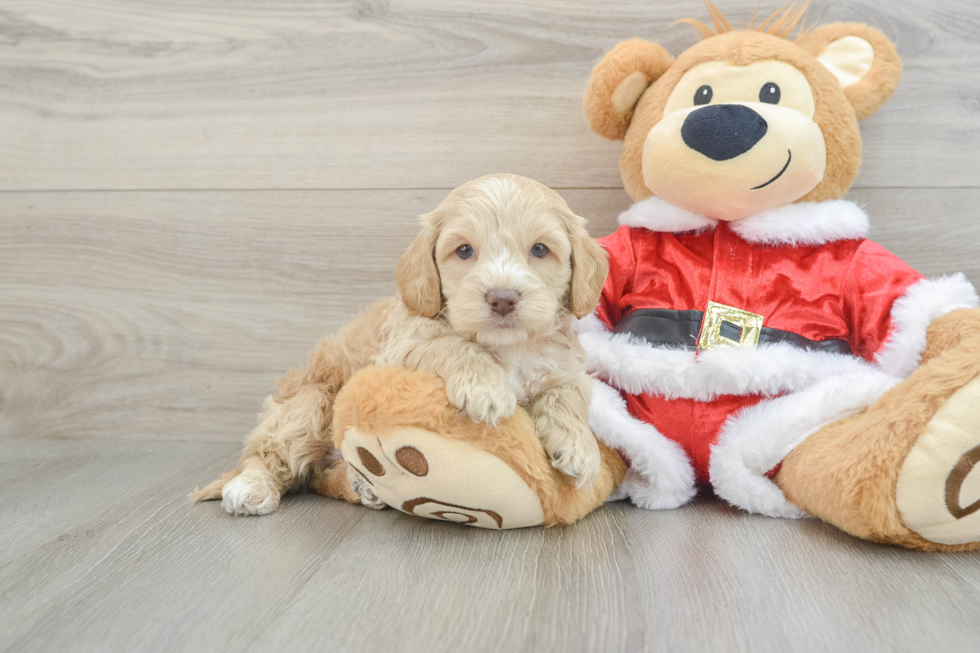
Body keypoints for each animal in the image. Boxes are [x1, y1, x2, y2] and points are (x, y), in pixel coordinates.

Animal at [190, 173, 604, 516]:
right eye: (464, 251)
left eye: (540, 250)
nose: (502, 298)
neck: (509, 347)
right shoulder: (402, 346)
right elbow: (449, 344)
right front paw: (486, 387)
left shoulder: (564, 367)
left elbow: (567, 395)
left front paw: (580, 448)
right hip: (309, 403)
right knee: (271, 452)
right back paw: (250, 485)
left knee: (321, 478)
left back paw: (362, 487)